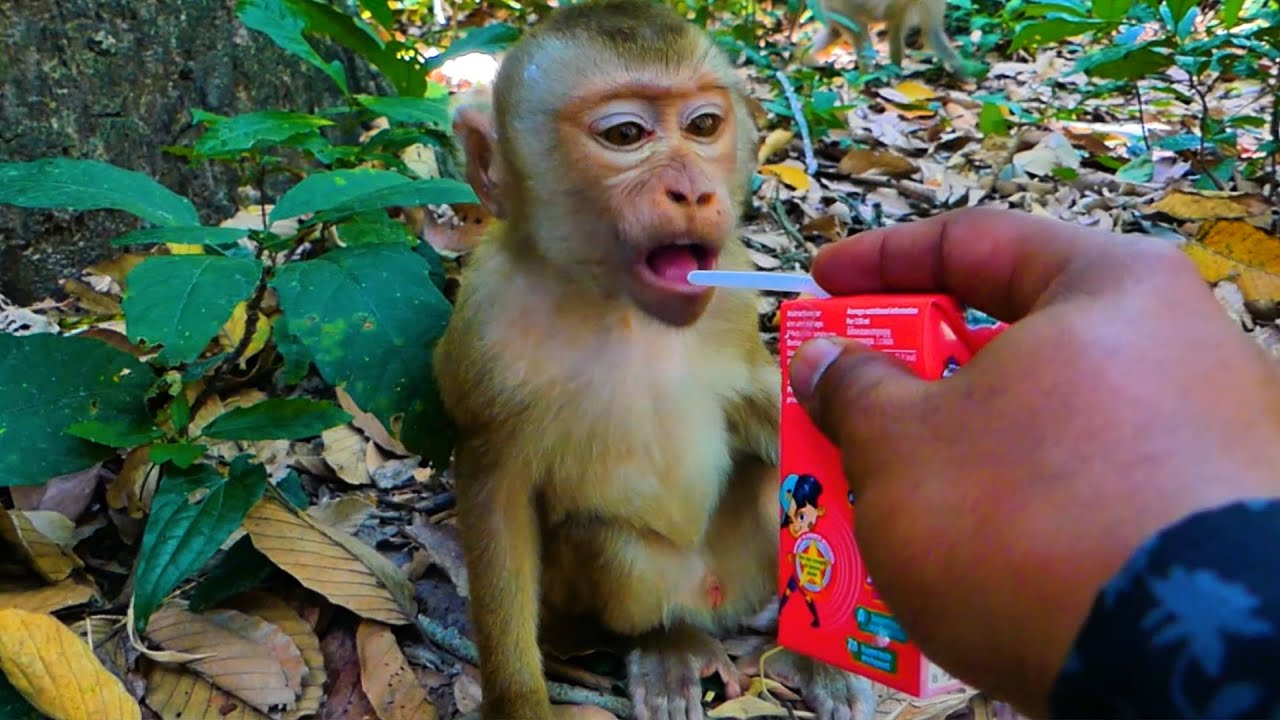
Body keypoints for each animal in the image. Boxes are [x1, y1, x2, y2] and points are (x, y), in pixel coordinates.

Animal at [431, 2, 878, 719]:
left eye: (703, 127)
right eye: (626, 135)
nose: (693, 192)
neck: (618, 304)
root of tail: (716, 599)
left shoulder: (732, 287)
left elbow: (772, 416)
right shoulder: (484, 328)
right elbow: (495, 496)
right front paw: (520, 699)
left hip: (747, 567)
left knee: (769, 484)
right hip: (651, 583)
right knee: (609, 545)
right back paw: (670, 645)